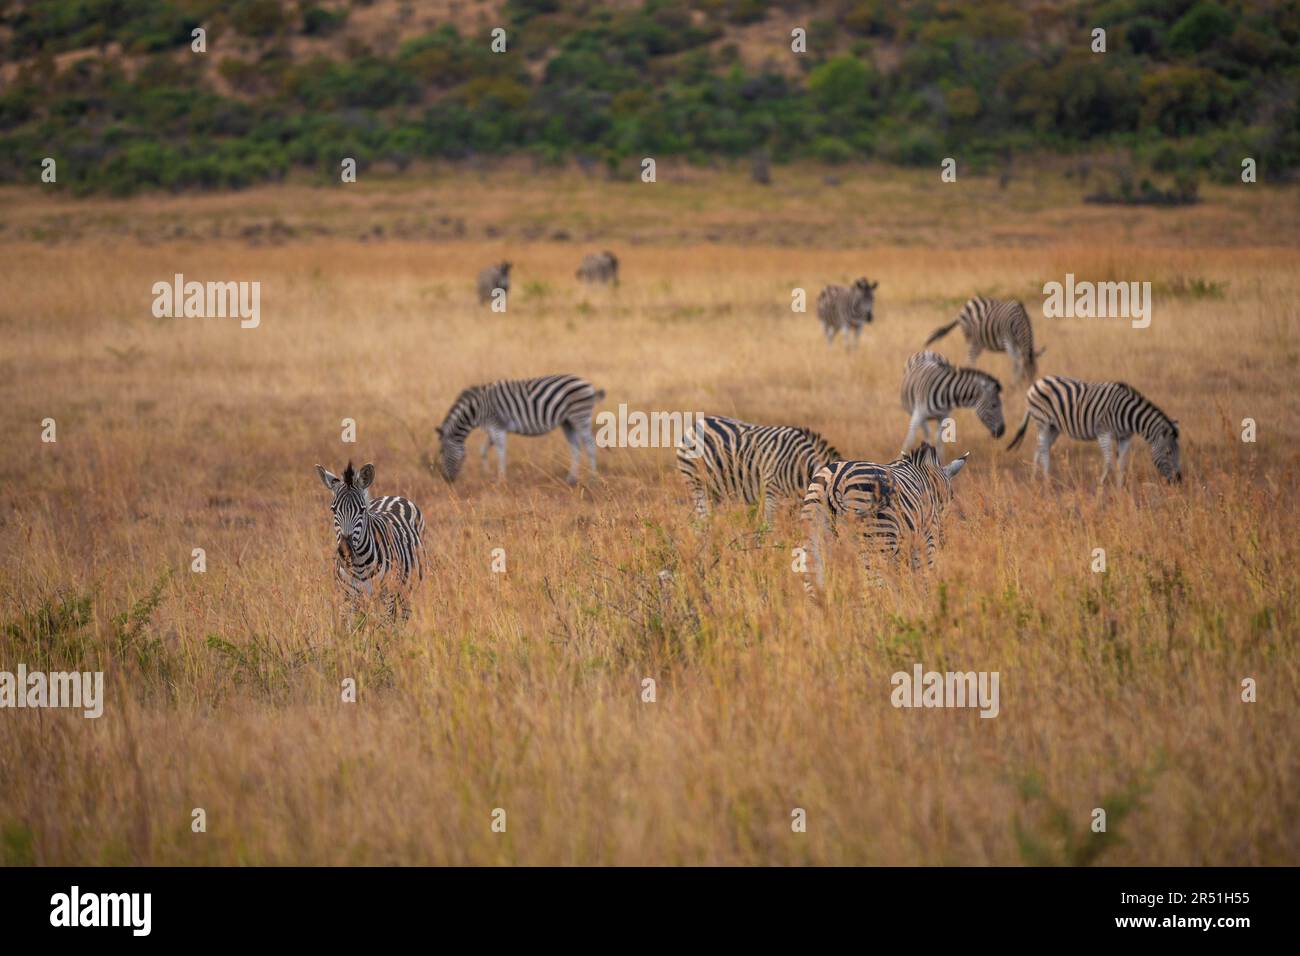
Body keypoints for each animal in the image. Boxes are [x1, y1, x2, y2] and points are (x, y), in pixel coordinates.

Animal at [314, 461, 425, 619]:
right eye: (333, 510)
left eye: (362, 510)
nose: (345, 551)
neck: (359, 566)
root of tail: (392, 496)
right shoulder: (347, 598)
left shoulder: (387, 597)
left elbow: (385, 625)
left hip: (407, 589)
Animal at [434, 374, 605, 484]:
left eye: (442, 452)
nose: (447, 480)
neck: (477, 410)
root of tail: (588, 385)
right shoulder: (493, 428)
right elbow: (483, 450)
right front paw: (486, 474)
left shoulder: (496, 425)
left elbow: (500, 451)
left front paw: (501, 480)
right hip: (567, 422)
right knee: (575, 447)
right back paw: (571, 479)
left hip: (579, 416)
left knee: (590, 445)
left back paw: (593, 479)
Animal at [675, 415, 840, 522]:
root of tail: (696, 423)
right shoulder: (771, 490)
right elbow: (769, 525)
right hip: (696, 482)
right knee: (702, 520)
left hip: (715, 490)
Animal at [800, 443, 969, 597]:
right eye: (952, 496)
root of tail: (835, 479)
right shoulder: (926, 541)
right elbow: (923, 581)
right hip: (877, 542)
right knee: (875, 590)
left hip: (814, 535)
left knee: (814, 588)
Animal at [1007, 375, 1182, 485]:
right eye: (1168, 452)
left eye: (1178, 452)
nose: (1179, 480)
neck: (1127, 415)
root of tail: (1036, 382)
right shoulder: (1103, 432)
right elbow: (1109, 463)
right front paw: (1101, 487)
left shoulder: (1125, 437)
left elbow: (1121, 464)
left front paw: (1120, 490)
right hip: (1042, 422)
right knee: (1043, 449)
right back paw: (1046, 480)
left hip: (1053, 427)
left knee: (1039, 448)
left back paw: (1034, 478)